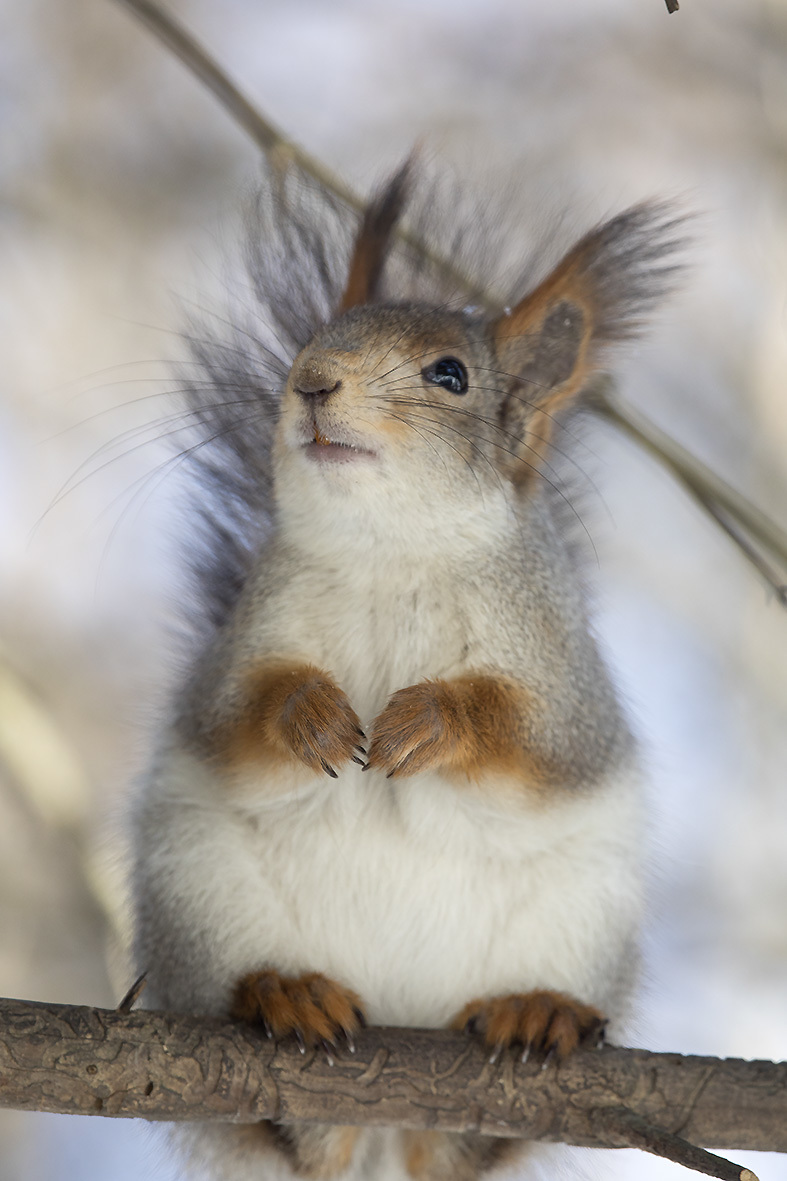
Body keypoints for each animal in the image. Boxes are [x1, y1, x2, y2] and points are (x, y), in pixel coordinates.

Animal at [128, 159, 680, 1181]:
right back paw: (285, 993)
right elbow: (231, 714)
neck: (390, 550)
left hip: (583, 913)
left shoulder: (557, 663)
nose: (310, 382)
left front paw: (433, 720)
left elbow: (540, 736)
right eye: (307, 340)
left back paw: (531, 1010)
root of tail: (384, 1133)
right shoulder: (245, 638)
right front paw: (305, 712)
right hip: (197, 891)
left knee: (476, 1134)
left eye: (449, 375)